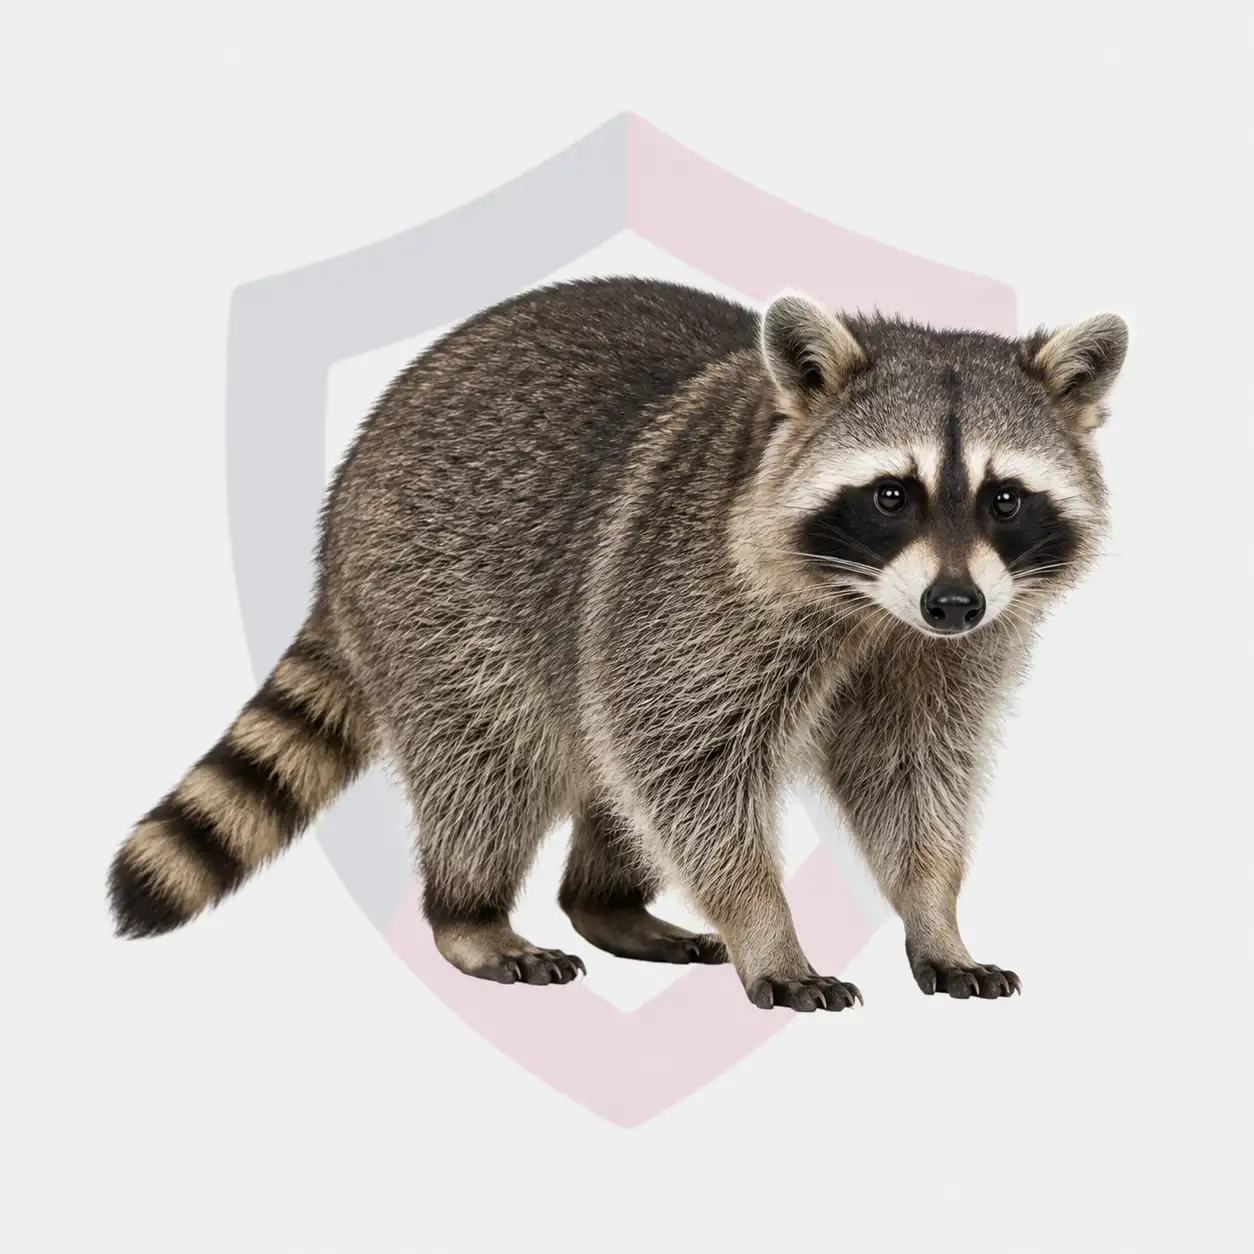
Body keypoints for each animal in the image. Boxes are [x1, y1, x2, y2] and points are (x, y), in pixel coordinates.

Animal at [108, 277, 1126, 1011]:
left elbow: (913, 770)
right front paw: (768, 925)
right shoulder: (693, 593)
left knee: (605, 757)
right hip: (433, 596)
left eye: (1005, 498)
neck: (872, 609)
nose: (954, 603)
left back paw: (607, 901)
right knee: (493, 761)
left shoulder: (950, 648)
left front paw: (934, 912)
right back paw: (469, 913)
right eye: (890, 495)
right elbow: (689, 765)